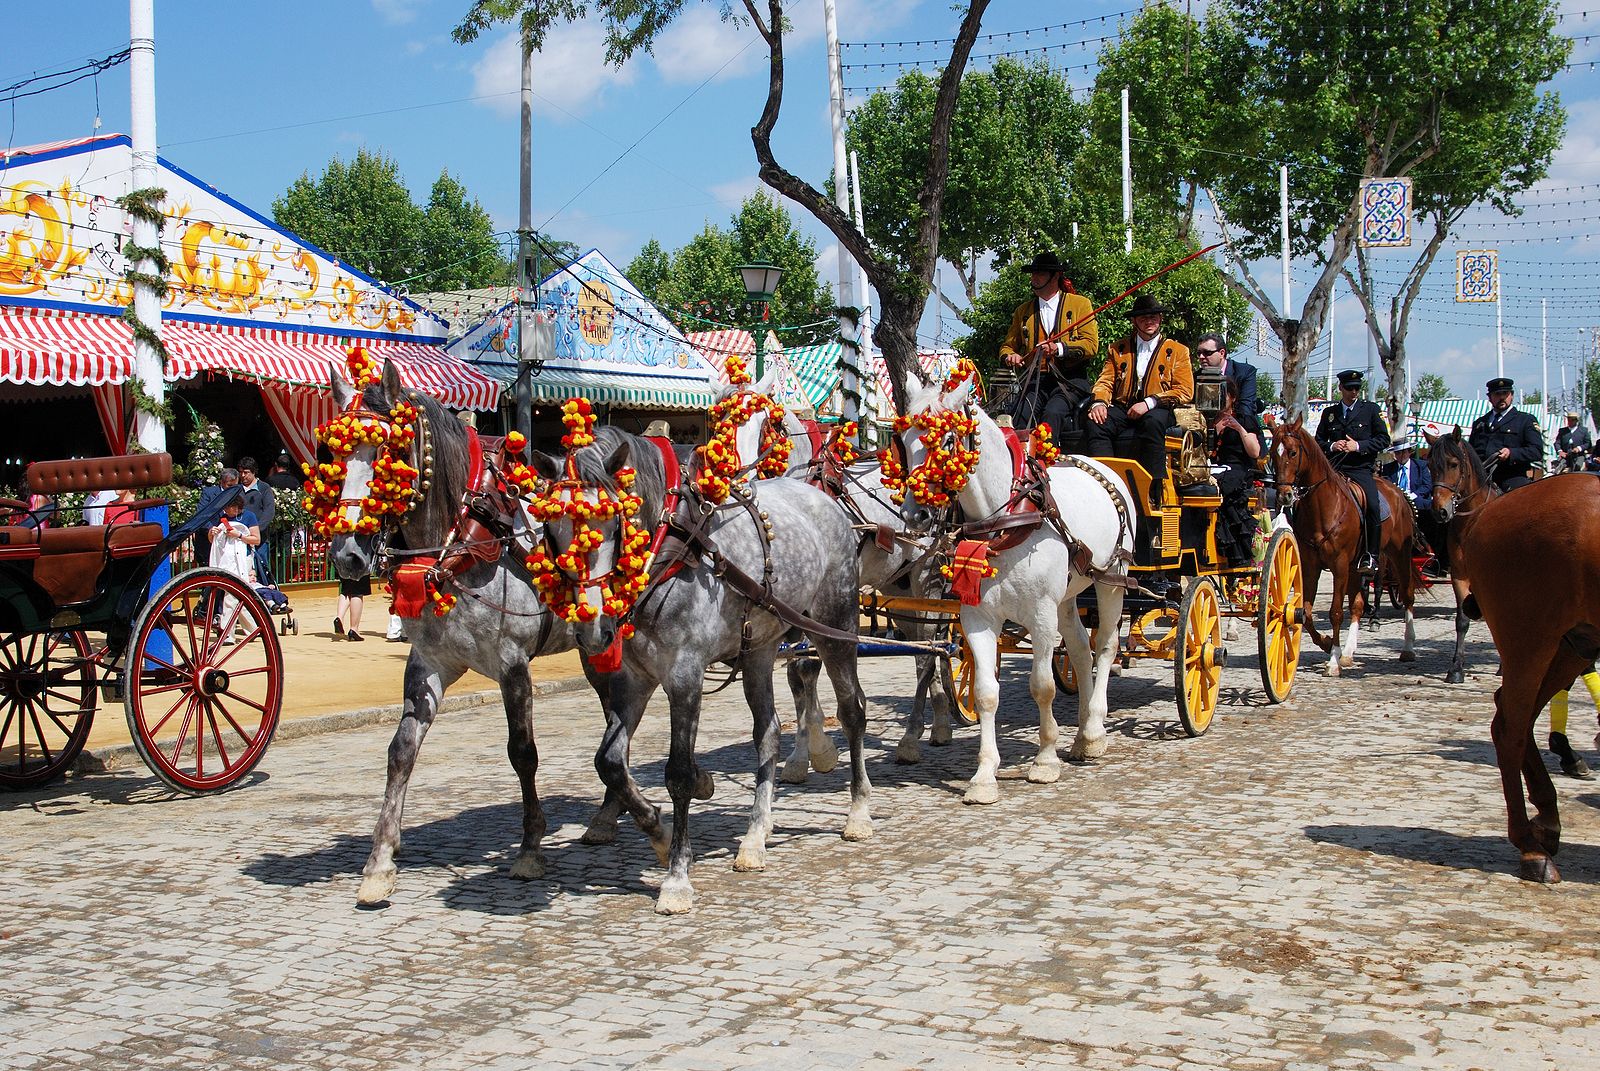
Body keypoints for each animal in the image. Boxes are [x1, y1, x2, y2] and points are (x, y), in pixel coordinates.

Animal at [902, 377, 1139, 800]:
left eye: (946, 440)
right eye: (903, 439)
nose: (916, 514)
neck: (1005, 519)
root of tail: (1104, 468)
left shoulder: (1041, 614)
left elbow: (1042, 686)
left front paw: (1044, 761)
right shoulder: (977, 616)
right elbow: (985, 693)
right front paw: (984, 775)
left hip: (1111, 579)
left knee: (1106, 646)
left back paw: (1095, 730)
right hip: (1068, 595)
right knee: (1081, 649)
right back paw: (1080, 736)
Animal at [1267, 419, 1420, 675]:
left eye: (1293, 452)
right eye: (1271, 454)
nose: (1284, 496)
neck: (1323, 507)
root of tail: (1398, 492)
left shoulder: (1338, 565)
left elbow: (1336, 612)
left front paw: (1333, 661)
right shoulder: (1311, 566)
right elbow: (1306, 613)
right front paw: (1328, 644)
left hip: (1397, 554)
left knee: (1407, 595)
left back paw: (1408, 648)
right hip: (1355, 567)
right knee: (1357, 605)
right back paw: (1348, 652)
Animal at [1446, 470, 1600, 883]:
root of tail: (1489, 510)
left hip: (1572, 645)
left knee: (1517, 715)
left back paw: (1546, 818)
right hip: (1531, 641)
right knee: (1510, 727)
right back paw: (1531, 848)